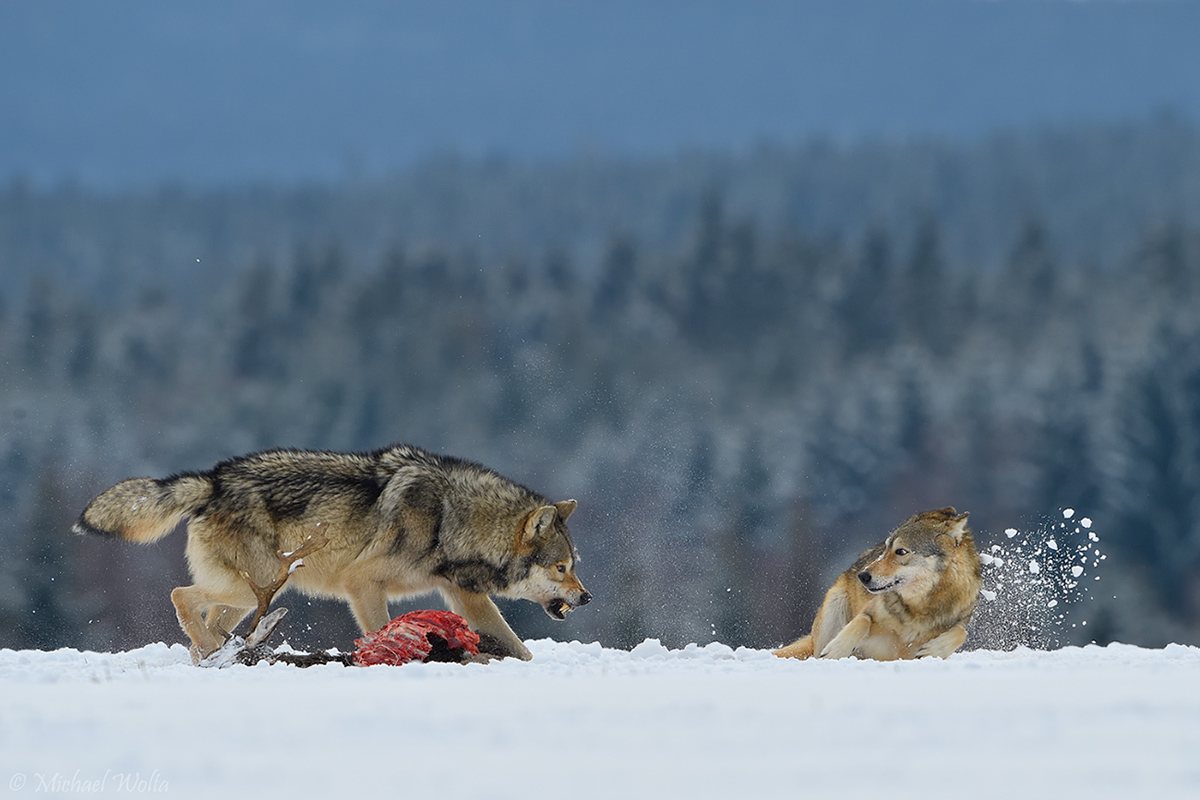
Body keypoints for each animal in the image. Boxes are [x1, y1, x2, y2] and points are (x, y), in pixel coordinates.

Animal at [73, 443, 590, 662]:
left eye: (574, 566)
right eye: (561, 566)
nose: (586, 597)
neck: (451, 517)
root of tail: (213, 480)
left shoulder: (463, 595)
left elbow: (517, 646)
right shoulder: (361, 583)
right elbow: (381, 629)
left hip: (252, 594)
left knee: (217, 621)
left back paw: (216, 653)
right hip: (253, 585)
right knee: (181, 596)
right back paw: (212, 651)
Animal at [772, 506, 979, 662]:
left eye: (901, 551)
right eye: (885, 549)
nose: (862, 576)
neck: (919, 610)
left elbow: (961, 632)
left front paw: (934, 649)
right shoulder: (869, 614)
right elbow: (863, 620)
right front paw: (837, 649)